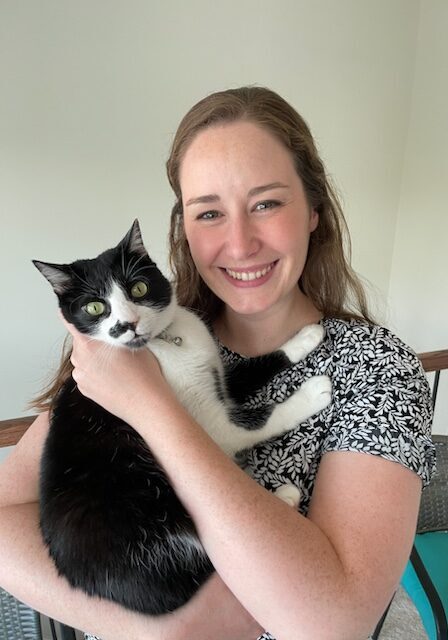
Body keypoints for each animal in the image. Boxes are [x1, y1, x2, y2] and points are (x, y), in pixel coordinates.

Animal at [33, 219, 330, 616]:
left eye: (139, 288)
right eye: (95, 307)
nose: (127, 324)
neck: (165, 342)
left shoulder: (218, 376)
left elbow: (252, 367)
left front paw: (304, 338)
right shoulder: (210, 425)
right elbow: (257, 418)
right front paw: (314, 393)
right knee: (219, 561)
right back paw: (284, 497)